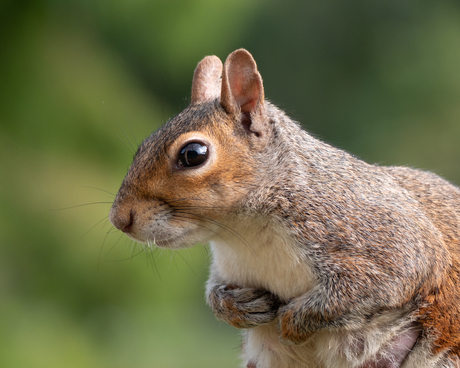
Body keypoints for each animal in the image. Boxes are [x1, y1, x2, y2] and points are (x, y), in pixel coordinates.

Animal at [108, 49, 460, 368]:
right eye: (142, 146)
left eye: (193, 154)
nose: (119, 219)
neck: (245, 233)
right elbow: (214, 292)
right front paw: (233, 306)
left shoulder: (383, 241)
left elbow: (378, 284)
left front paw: (294, 320)